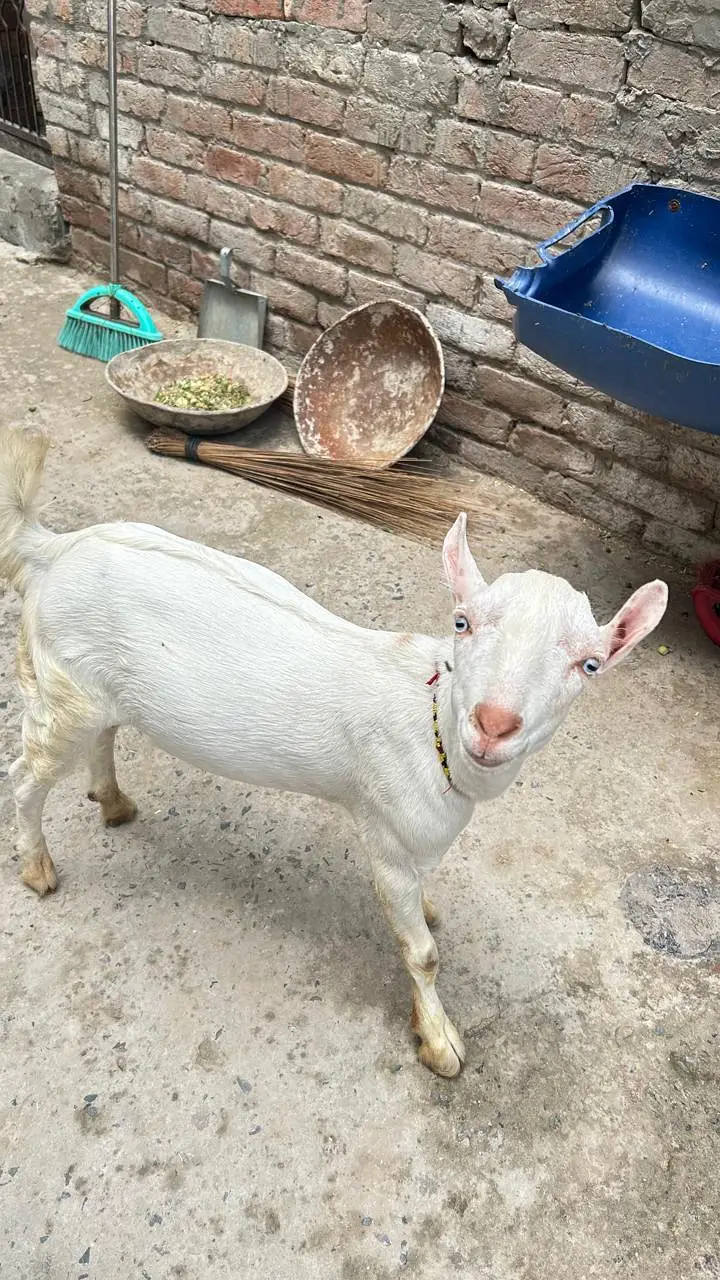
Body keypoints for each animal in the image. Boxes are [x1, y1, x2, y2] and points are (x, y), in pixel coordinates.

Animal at [0, 427, 667, 1076]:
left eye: (590, 664)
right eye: (462, 623)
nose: (494, 723)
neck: (434, 723)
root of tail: (54, 549)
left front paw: (429, 911)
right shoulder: (389, 836)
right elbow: (422, 954)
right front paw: (439, 1042)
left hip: (94, 689)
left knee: (102, 735)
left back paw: (112, 801)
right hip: (62, 684)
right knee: (27, 775)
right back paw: (37, 868)